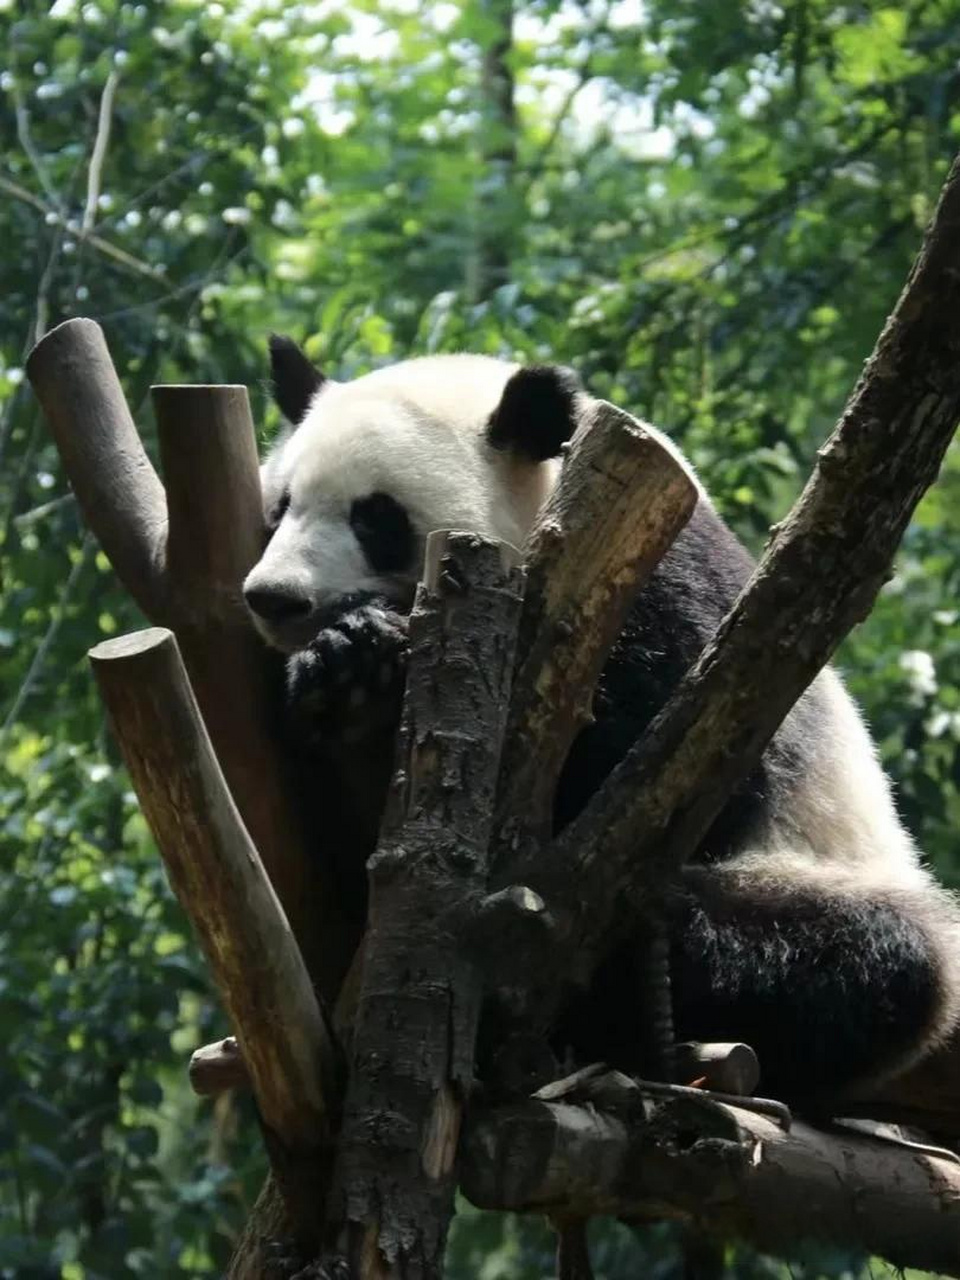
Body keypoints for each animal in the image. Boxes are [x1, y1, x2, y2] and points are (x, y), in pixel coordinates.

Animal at [241, 335, 960, 1105]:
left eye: (375, 518)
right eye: (282, 507)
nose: (275, 597)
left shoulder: (671, 597)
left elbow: (693, 779)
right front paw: (348, 672)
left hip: (827, 871)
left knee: (872, 960)